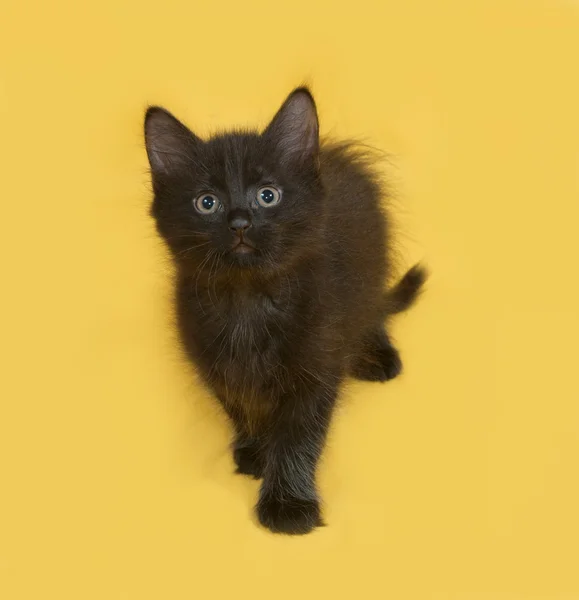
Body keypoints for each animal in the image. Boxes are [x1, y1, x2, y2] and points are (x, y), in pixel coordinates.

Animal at [144, 88, 426, 536]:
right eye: (207, 203)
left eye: (268, 195)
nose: (240, 222)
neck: (248, 301)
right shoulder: (214, 361)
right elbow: (239, 405)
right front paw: (255, 449)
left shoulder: (316, 366)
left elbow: (297, 436)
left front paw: (288, 504)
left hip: (371, 270)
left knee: (371, 311)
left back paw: (378, 356)